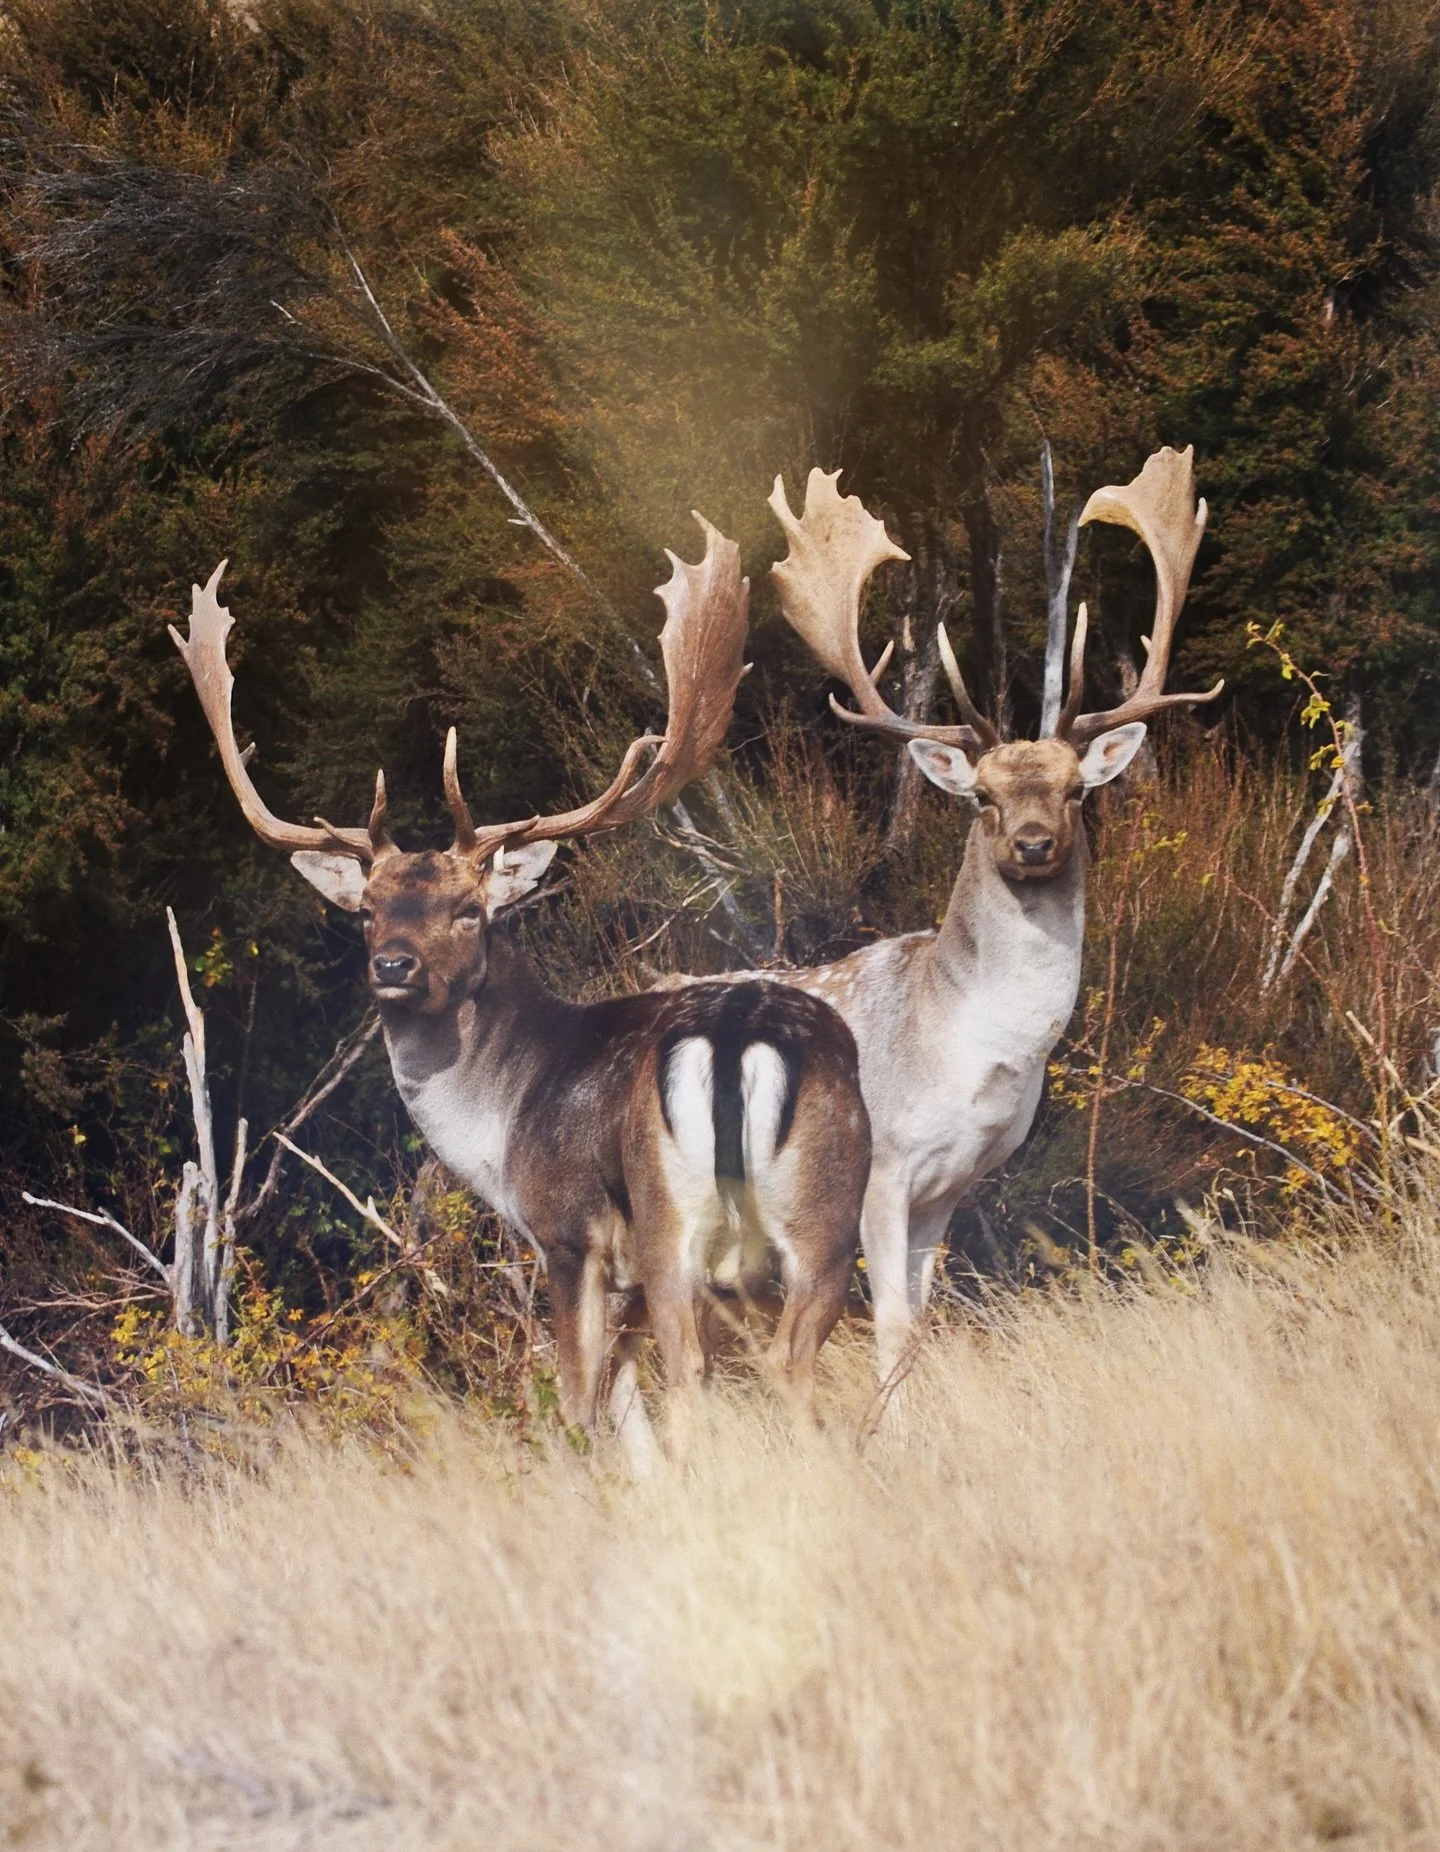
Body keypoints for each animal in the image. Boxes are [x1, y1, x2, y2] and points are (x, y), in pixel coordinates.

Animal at [170, 516, 871, 1462]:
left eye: (469, 911)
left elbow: (578, 1403)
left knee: (694, 1374)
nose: (393, 967)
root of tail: (738, 1041)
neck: (503, 1126)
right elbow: (624, 1411)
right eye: (369, 912)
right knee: (797, 1368)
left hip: (672, 1227)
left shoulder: (568, 1234)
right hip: (830, 1216)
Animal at [663, 447, 1222, 1388]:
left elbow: (919, 1326)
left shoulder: (951, 1188)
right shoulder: (883, 1173)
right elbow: (890, 1322)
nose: (1034, 842)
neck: (969, 1059)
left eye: (1076, 790)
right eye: (982, 797)